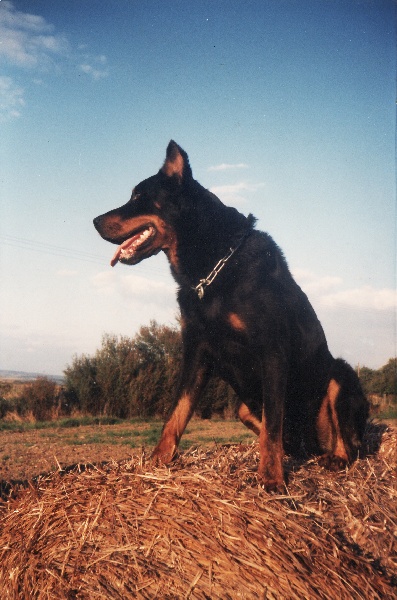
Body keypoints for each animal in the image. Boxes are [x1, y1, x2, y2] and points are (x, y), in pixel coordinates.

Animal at [93, 142, 368, 492]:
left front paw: (271, 478)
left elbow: (272, 426)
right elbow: (176, 414)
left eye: (139, 196)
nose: (94, 221)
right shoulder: (196, 351)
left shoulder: (272, 352)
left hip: (339, 375)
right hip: (244, 408)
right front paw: (156, 462)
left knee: (349, 442)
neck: (213, 268)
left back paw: (336, 457)